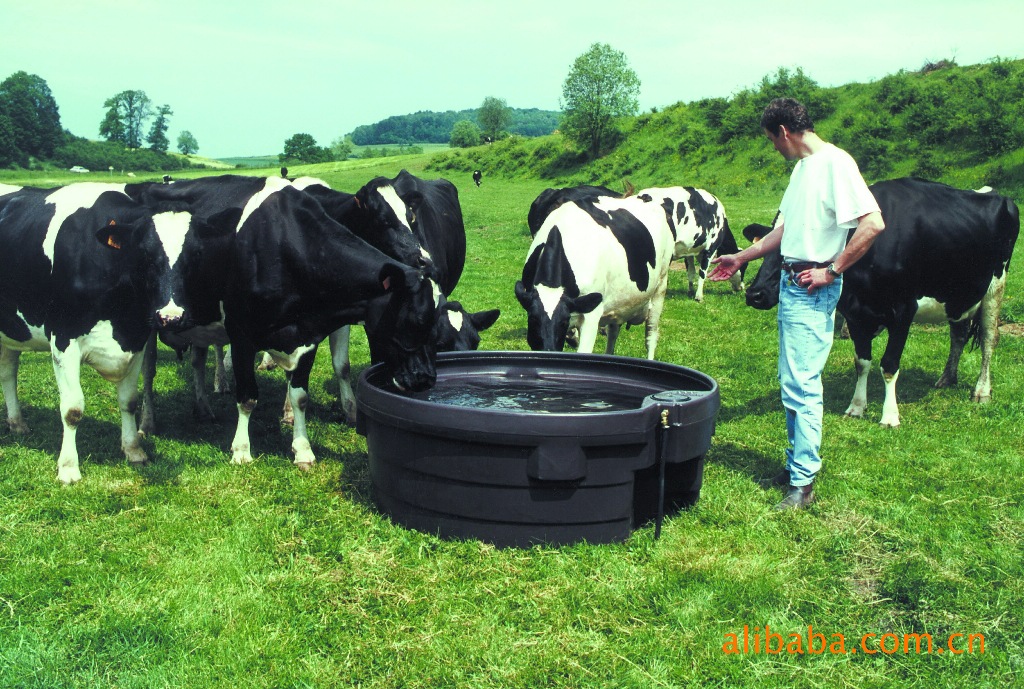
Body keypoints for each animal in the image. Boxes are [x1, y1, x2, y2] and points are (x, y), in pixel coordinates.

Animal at [0, 182, 192, 483]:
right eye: (145, 255)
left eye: (192, 256)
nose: (171, 316)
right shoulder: (63, 340)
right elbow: (72, 409)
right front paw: (68, 468)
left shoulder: (136, 340)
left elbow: (129, 401)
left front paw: (134, 451)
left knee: (8, 371)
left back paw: (17, 422)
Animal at [125, 175, 438, 464]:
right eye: (413, 322)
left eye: (410, 216)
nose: (426, 379)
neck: (283, 244)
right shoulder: (241, 334)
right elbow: (247, 397)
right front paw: (241, 450)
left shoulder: (309, 334)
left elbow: (303, 392)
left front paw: (302, 448)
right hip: (153, 318)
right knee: (148, 373)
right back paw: (147, 424)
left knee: (197, 360)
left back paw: (203, 408)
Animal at [516, 192, 675, 358]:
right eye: (533, 319)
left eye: (563, 322)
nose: (548, 349)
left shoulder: (591, 314)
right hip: (620, 302)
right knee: (613, 331)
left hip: (660, 287)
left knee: (650, 336)